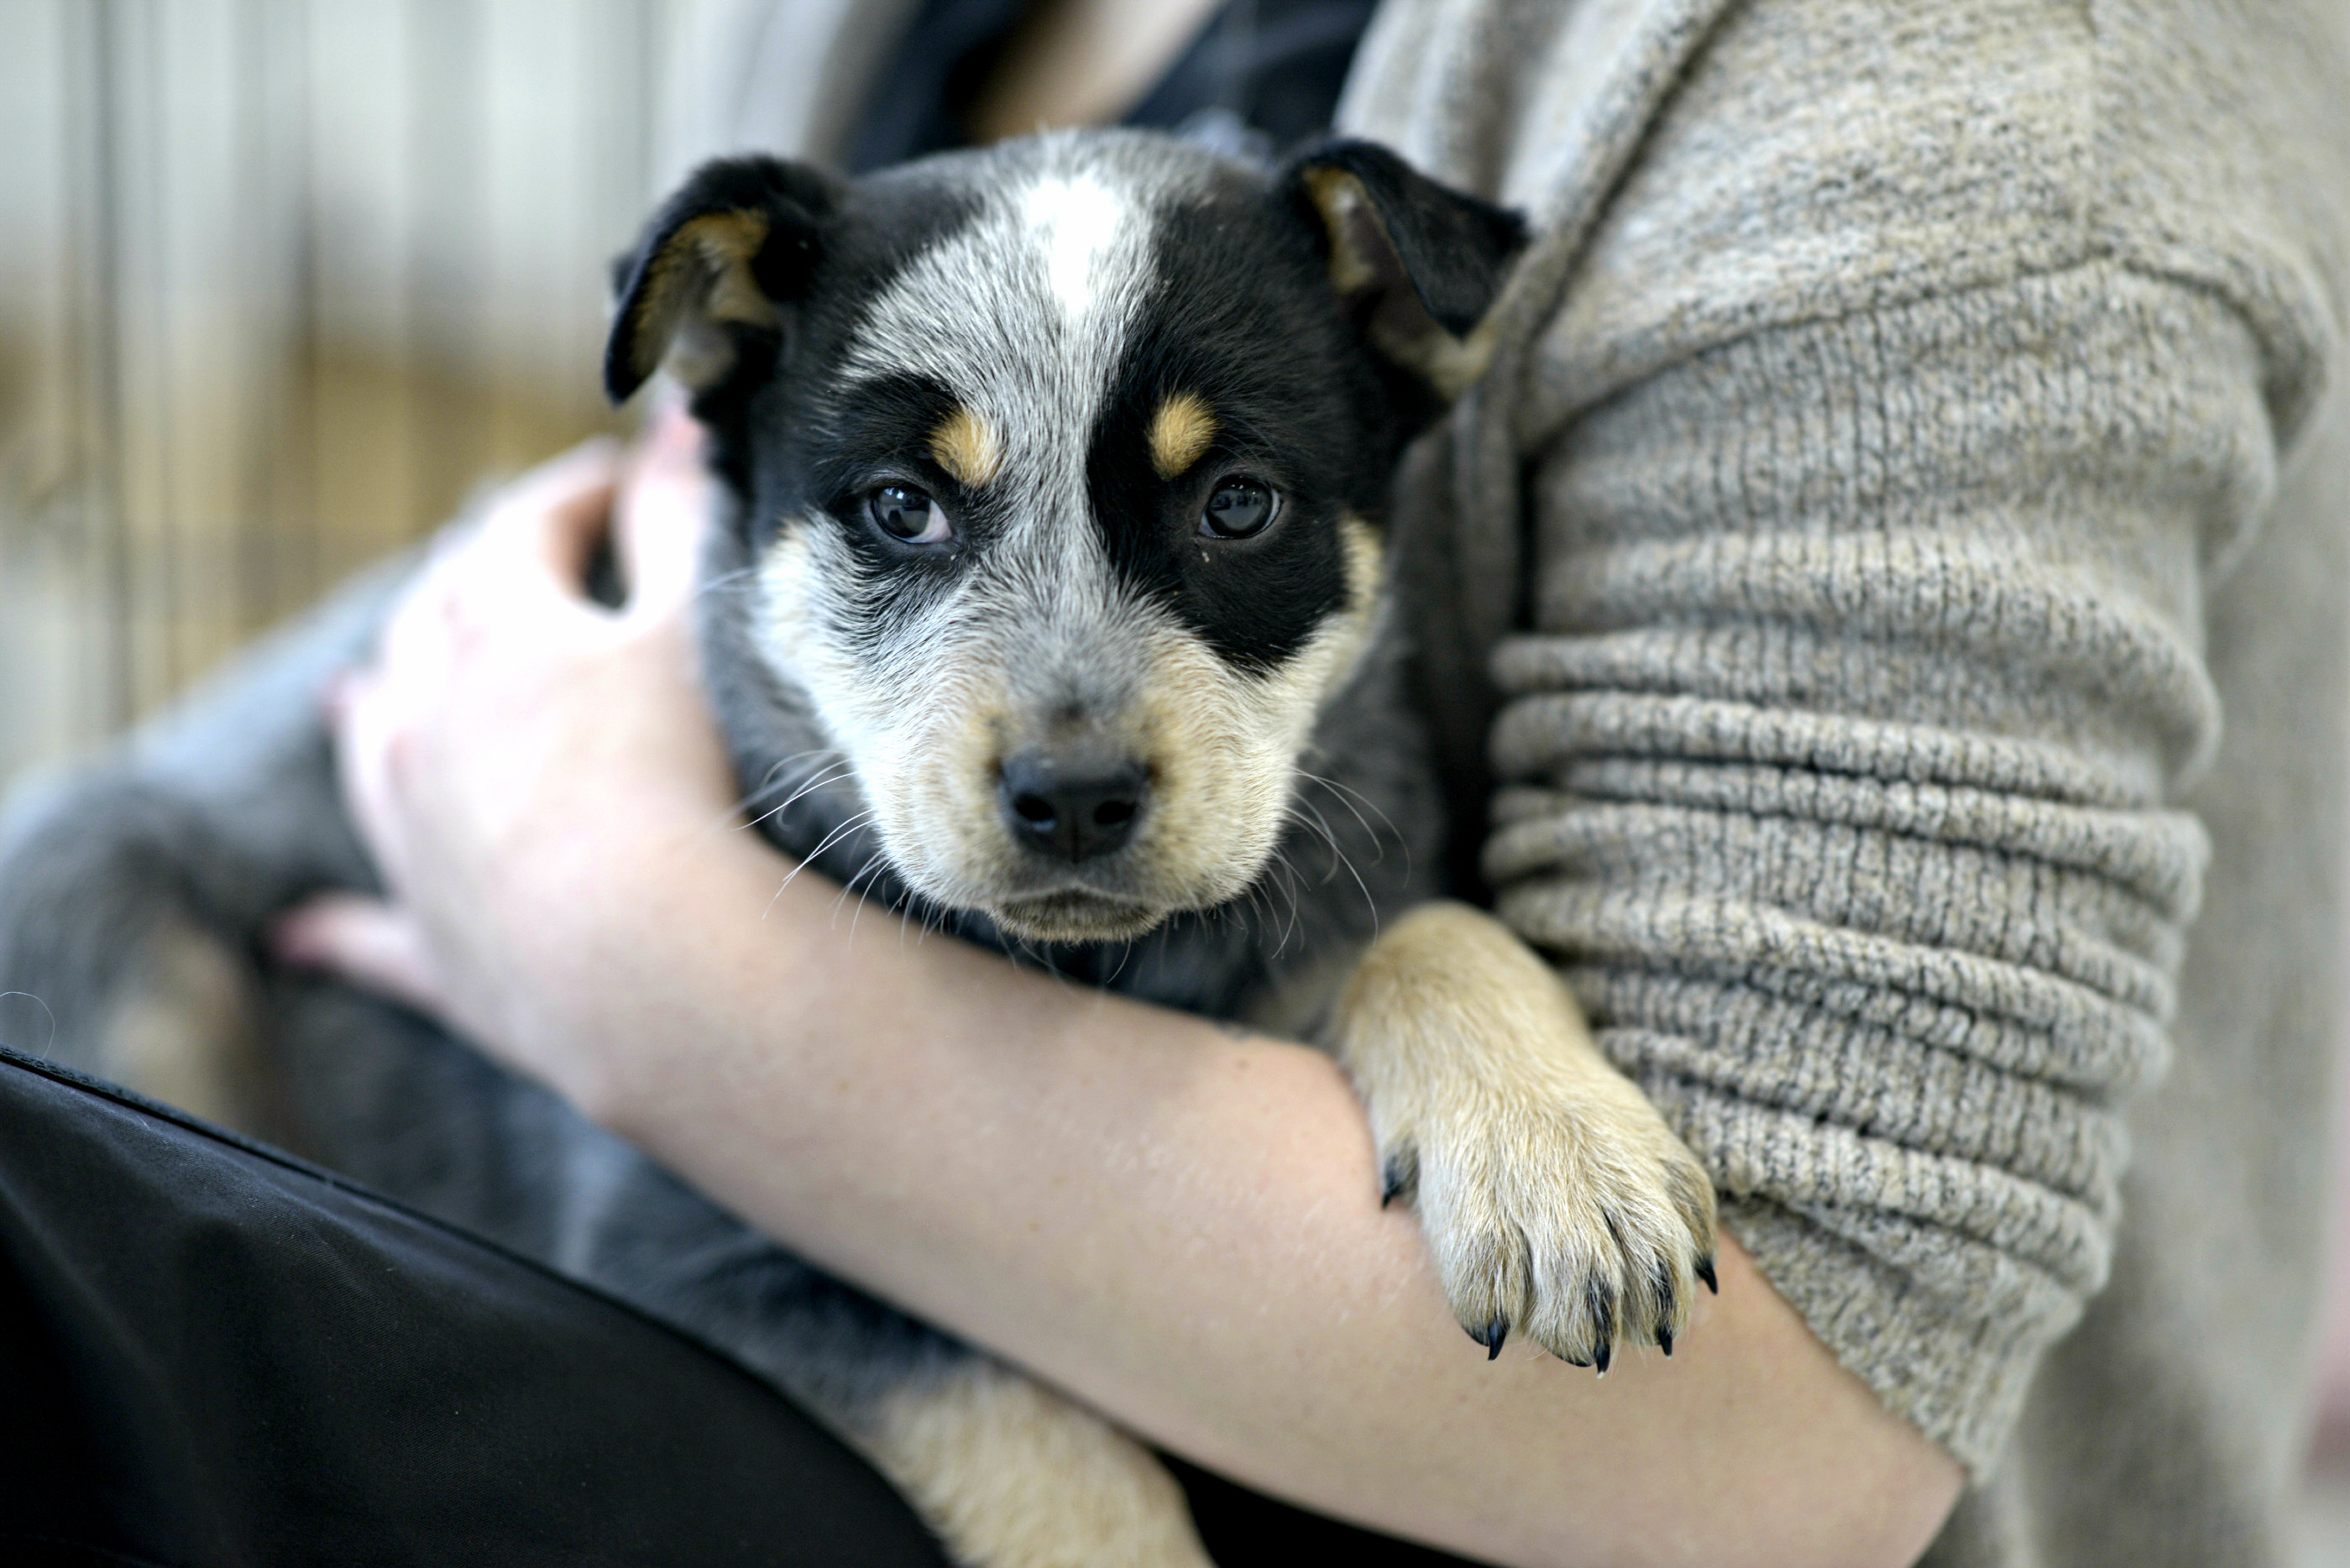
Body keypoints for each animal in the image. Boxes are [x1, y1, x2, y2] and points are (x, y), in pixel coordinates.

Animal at [4, 135, 1730, 1568]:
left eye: (1238, 504)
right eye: (900, 507)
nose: (1072, 796)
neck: (1108, 968)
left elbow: (1421, 922)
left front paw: (1555, 1153)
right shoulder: (704, 1239)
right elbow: (1058, 1456)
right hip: (113, 908)